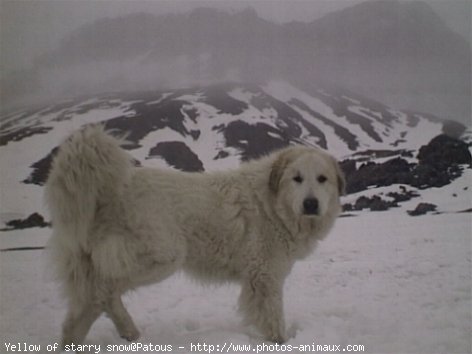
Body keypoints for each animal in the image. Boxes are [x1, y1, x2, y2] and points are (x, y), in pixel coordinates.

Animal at [45, 126, 342, 348]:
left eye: (322, 179)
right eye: (297, 178)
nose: (311, 203)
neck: (271, 204)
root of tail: (107, 190)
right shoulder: (265, 278)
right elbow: (273, 319)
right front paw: (281, 343)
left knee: (87, 304)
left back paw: (115, 334)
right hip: (162, 257)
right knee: (102, 291)